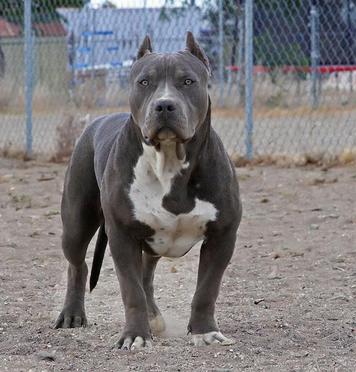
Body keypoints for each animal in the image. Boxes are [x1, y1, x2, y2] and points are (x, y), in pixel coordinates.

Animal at [55, 32, 242, 348]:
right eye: (144, 82)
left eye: (188, 81)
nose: (164, 105)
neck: (169, 162)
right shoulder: (122, 236)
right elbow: (131, 291)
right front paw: (134, 335)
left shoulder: (222, 236)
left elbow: (206, 289)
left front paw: (204, 331)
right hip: (76, 223)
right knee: (77, 265)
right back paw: (72, 314)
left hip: (153, 242)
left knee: (146, 274)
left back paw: (154, 317)